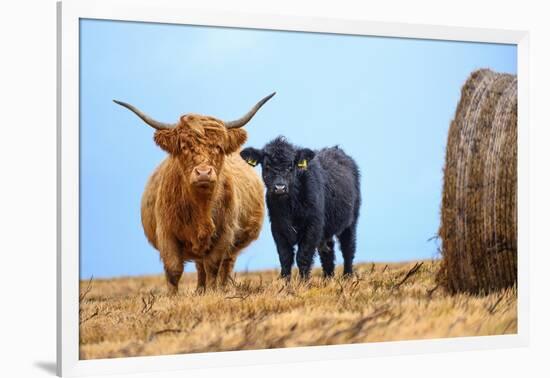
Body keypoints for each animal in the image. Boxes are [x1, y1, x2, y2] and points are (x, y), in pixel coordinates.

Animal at [115, 93, 276, 294]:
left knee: (225, 265)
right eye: (184, 147)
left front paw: (213, 292)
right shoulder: (166, 233)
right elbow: (174, 270)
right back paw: (200, 289)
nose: (204, 173)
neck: (201, 209)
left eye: (219, 147)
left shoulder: (224, 234)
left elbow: (213, 266)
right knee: (200, 267)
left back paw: (221, 288)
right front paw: (173, 297)